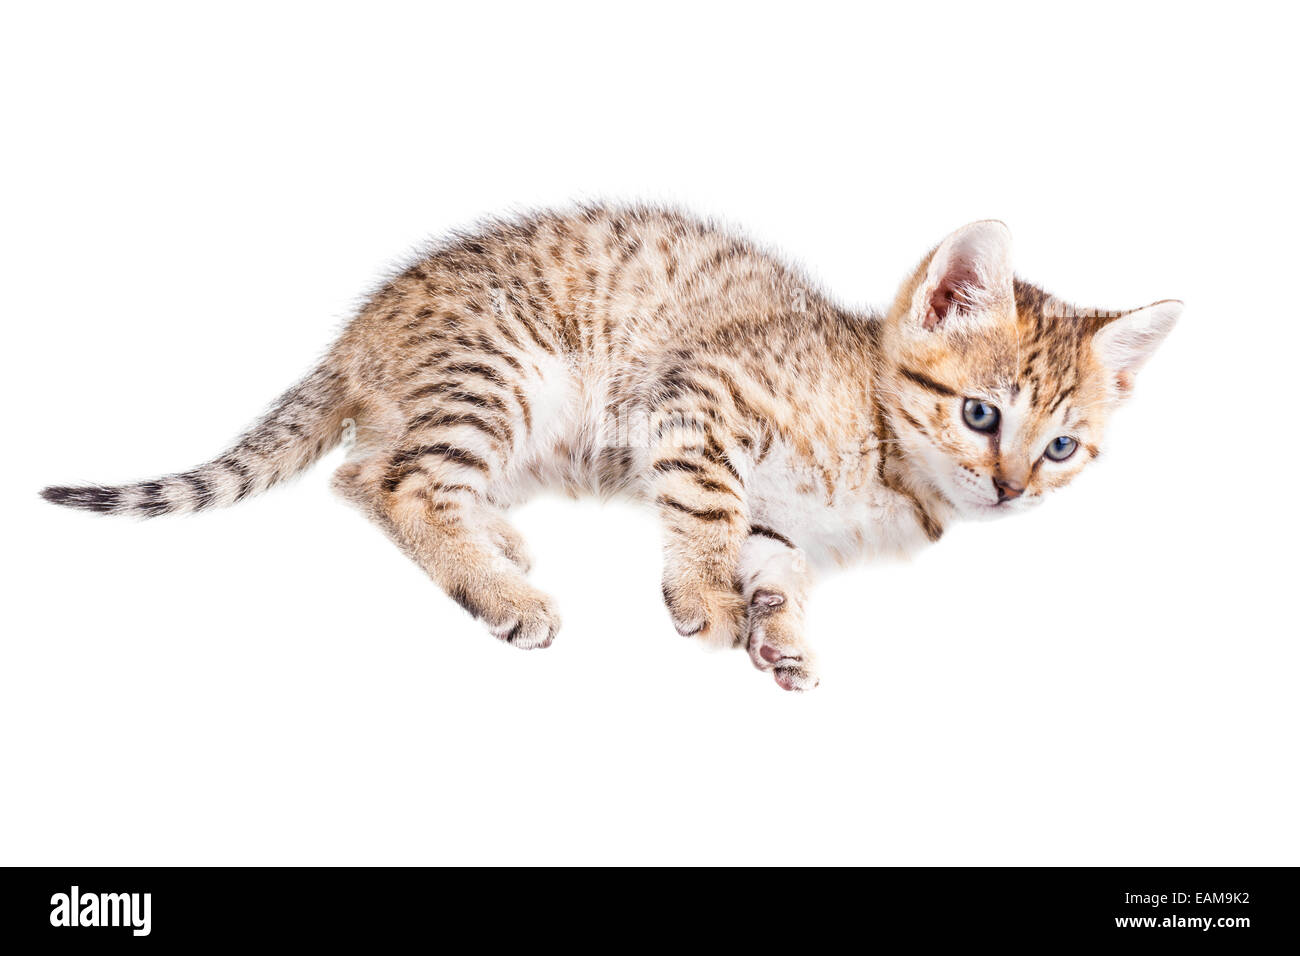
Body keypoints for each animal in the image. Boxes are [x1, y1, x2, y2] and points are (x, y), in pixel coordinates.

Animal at [40, 208, 1185, 686]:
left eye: (1063, 447)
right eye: (982, 415)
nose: (1010, 490)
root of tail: (361, 332)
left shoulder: (782, 517)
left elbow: (775, 559)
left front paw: (779, 628)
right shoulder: (697, 399)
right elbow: (708, 511)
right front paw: (708, 598)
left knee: (370, 471)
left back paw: (494, 541)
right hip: (498, 368)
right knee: (396, 479)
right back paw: (501, 591)